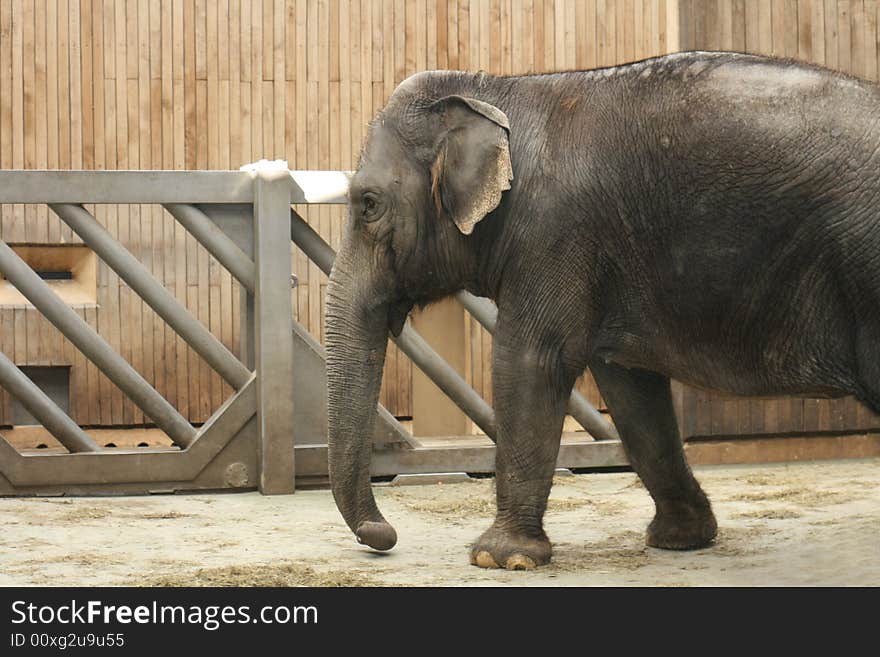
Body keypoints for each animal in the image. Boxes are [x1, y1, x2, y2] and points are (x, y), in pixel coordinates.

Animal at [326, 48, 880, 568]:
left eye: (367, 204)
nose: (383, 535)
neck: (496, 87)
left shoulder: (554, 232)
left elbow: (529, 360)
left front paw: (500, 558)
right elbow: (628, 385)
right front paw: (679, 540)